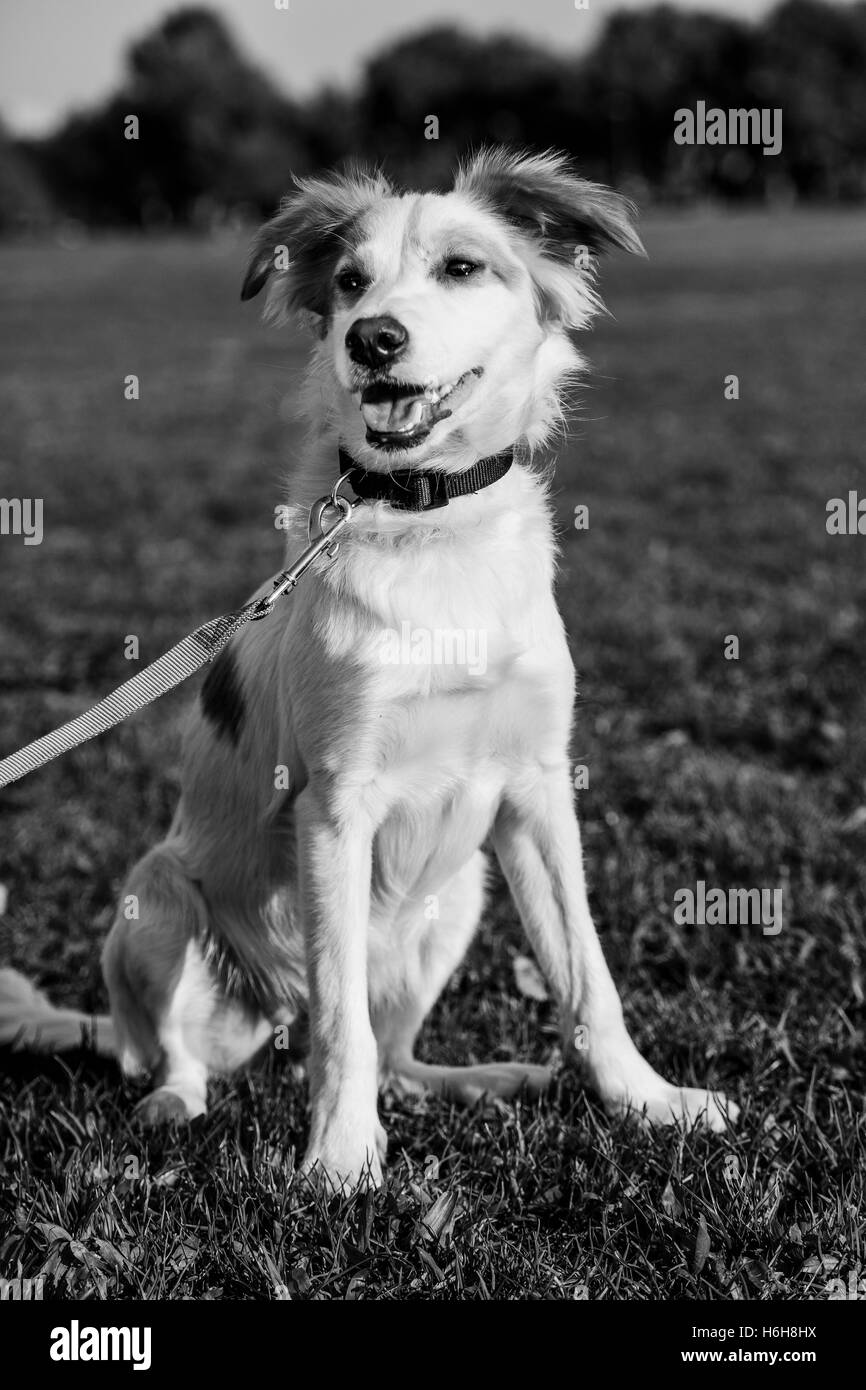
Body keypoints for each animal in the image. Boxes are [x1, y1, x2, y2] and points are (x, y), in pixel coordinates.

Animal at [1, 154, 739, 1195]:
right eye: (349, 282)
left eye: (462, 267)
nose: (373, 338)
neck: (433, 522)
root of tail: (267, 1022)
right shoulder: (335, 804)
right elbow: (341, 1027)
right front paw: (342, 1159)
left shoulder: (537, 792)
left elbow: (586, 977)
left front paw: (650, 1102)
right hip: (156, 898)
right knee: (194, 1054)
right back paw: (171, 1108)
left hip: (461, 893)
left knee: (398, 1057)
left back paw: (484, 1079)